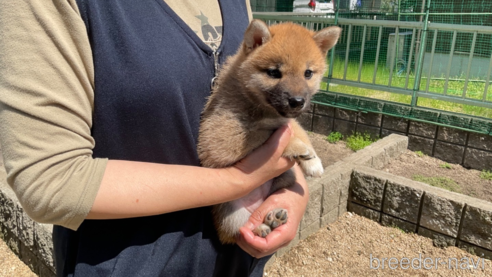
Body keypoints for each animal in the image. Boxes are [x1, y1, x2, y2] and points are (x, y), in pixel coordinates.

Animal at [198, 19, 340, 243]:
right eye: (274, 72)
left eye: (308, 73)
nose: (297, 101)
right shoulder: (221, 137)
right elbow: (270, 133)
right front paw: (299, 149)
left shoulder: (289, 121)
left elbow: (297, 131)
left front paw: (313, 160)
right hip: (231, 214)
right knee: (238, 231)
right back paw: (261, 227)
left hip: (285, 181)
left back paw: (274, 217)